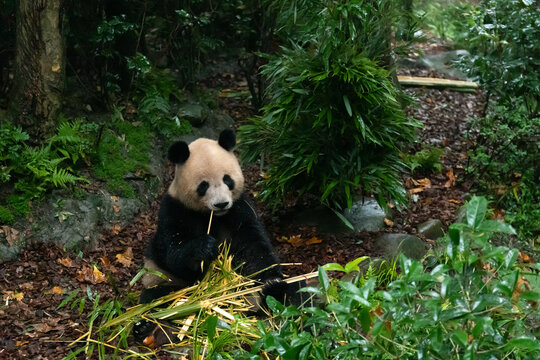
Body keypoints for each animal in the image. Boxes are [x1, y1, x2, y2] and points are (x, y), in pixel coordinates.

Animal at [134, 131, 304, 344]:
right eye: (203, 185)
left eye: (227, 180)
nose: (221, 203)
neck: (212, 216)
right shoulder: (174, 210)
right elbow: (173, 252)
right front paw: (204, 248)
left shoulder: (240, 209)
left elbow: (253, 246)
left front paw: (270, 279)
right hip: (161, 279)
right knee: (158, 300)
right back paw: (147, 328)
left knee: (294, 289)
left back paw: (276, 293)